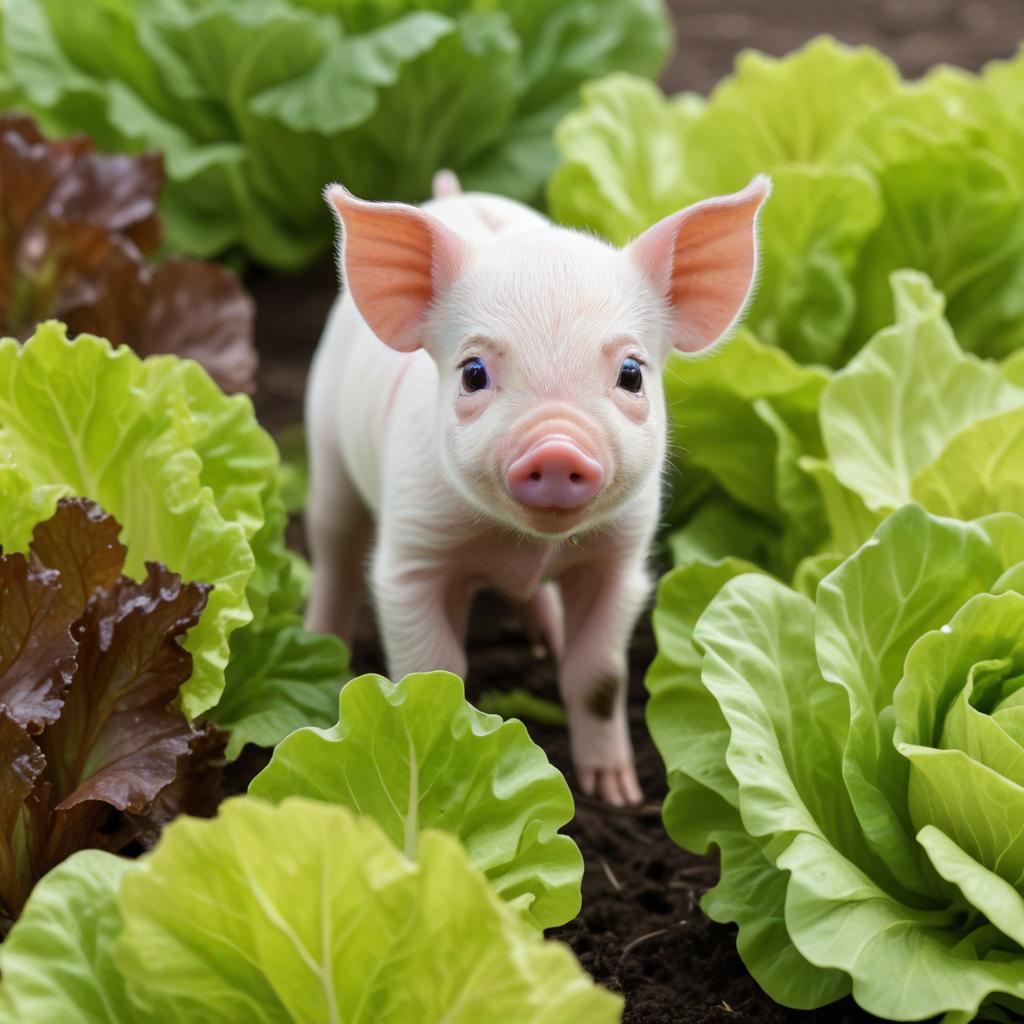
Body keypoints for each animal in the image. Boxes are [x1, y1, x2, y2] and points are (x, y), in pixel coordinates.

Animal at [306, 170, 770, 805]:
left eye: (632, 373)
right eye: (473, 373)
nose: (556, 448)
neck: (525, 545)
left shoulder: (622, 562)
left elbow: (599, 678)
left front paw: (617, 794)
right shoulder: (410, 560)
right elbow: (433, 670)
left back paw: (546, 642)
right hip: (326, 451)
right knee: (334, 554)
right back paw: (319, 645)